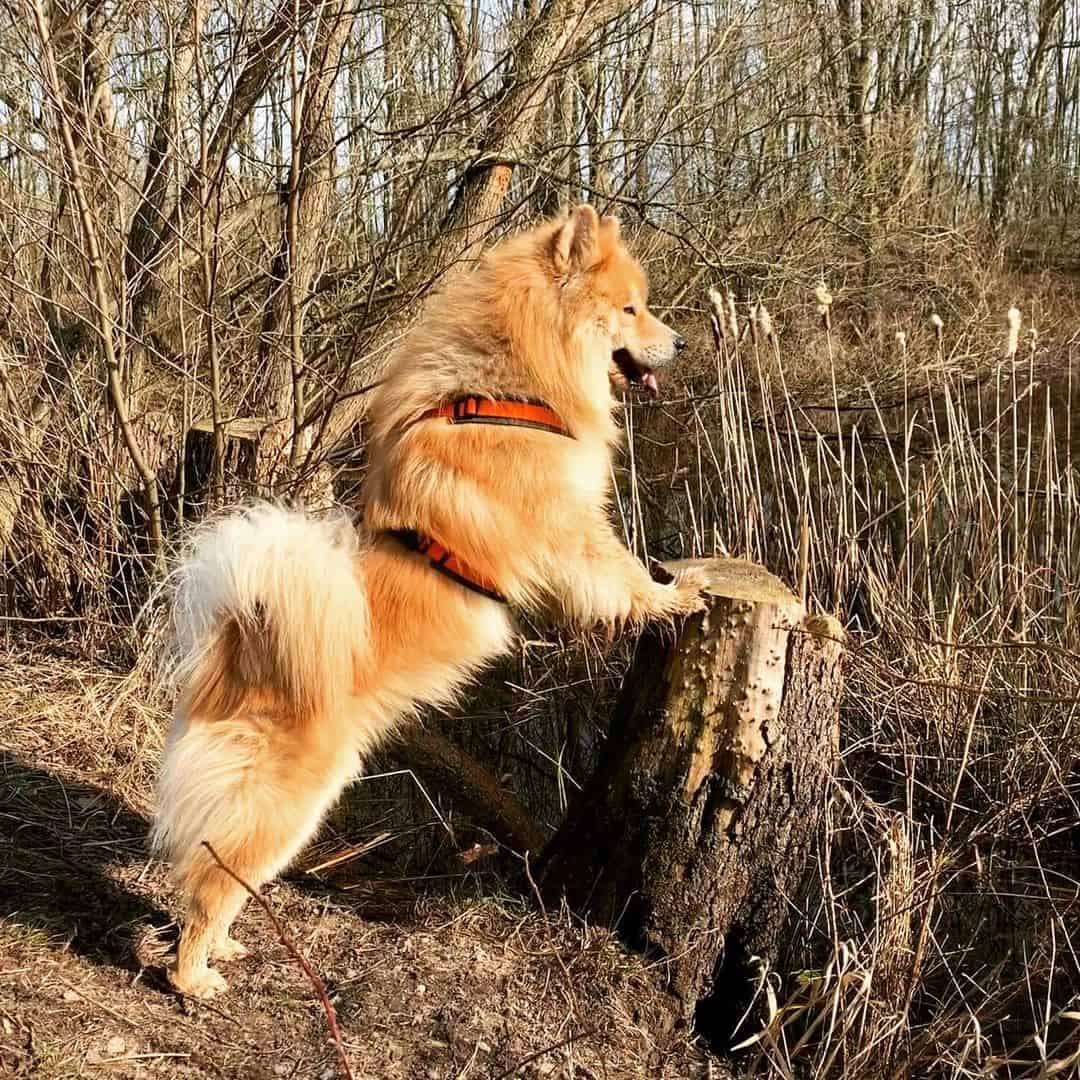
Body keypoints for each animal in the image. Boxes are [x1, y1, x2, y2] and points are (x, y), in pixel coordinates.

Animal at [152, 203, 708, 993]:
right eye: (631, 309)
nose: (682, 342)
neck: (512, 390)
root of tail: (238, 648)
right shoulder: (573, 531)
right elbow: (621, 575)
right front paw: (675, 595)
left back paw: (225, 948)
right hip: (289, 802)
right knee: (210, 880)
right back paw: (194, 974)